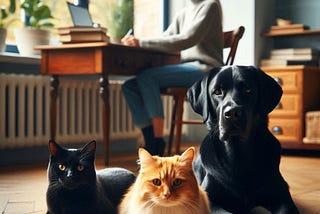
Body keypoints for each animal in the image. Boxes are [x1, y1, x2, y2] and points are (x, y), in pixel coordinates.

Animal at [186, 66, 298, 213]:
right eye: (217, 91)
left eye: (248, 90)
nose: (232, 113)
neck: (238, 156)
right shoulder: (208, 200)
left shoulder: (283, 197)